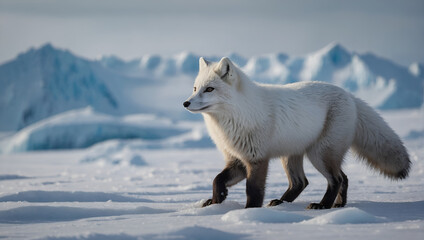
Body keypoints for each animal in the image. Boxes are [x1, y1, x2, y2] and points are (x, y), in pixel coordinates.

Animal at [182, 57, 410, 209]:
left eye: (209, 89)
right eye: (194, 88)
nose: (186, 103)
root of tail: (350, 95)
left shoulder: (257, 159)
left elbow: (253, 191)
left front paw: (249, 213)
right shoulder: (237, 159)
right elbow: (217, 180)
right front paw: (216, 201)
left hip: (320, 154)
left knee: (336, 179)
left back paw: (322, 205)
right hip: (292, 156)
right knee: (306, 182)